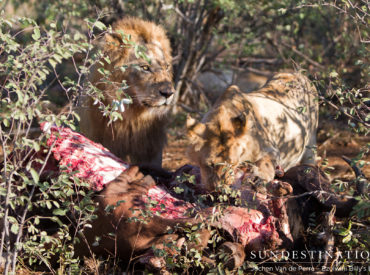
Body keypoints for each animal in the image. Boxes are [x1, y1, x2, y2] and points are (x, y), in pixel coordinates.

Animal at [188, 72, 318, 191]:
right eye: (211, 165)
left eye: (232, 163)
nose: (219, 187)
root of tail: (299, 74)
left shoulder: (272, 149)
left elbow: (266, 163)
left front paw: (259, 179)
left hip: (311, 143)